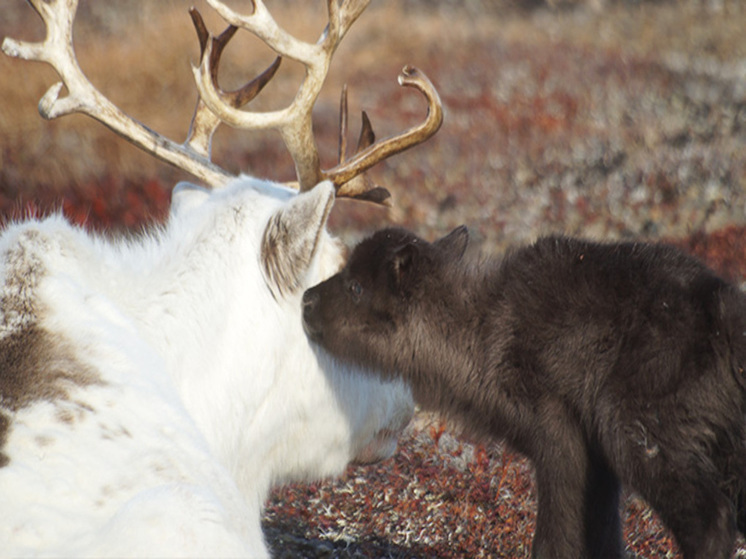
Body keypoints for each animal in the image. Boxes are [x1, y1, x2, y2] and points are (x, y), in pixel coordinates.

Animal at [300, 228, 744, 559]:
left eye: (356, 287)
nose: (306, 300)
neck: (479, 335)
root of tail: (725, 318)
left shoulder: (560, 438)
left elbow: (554, 542)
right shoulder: (598, 463)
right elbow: (603, 541)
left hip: (640, 433)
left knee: (712, 523)